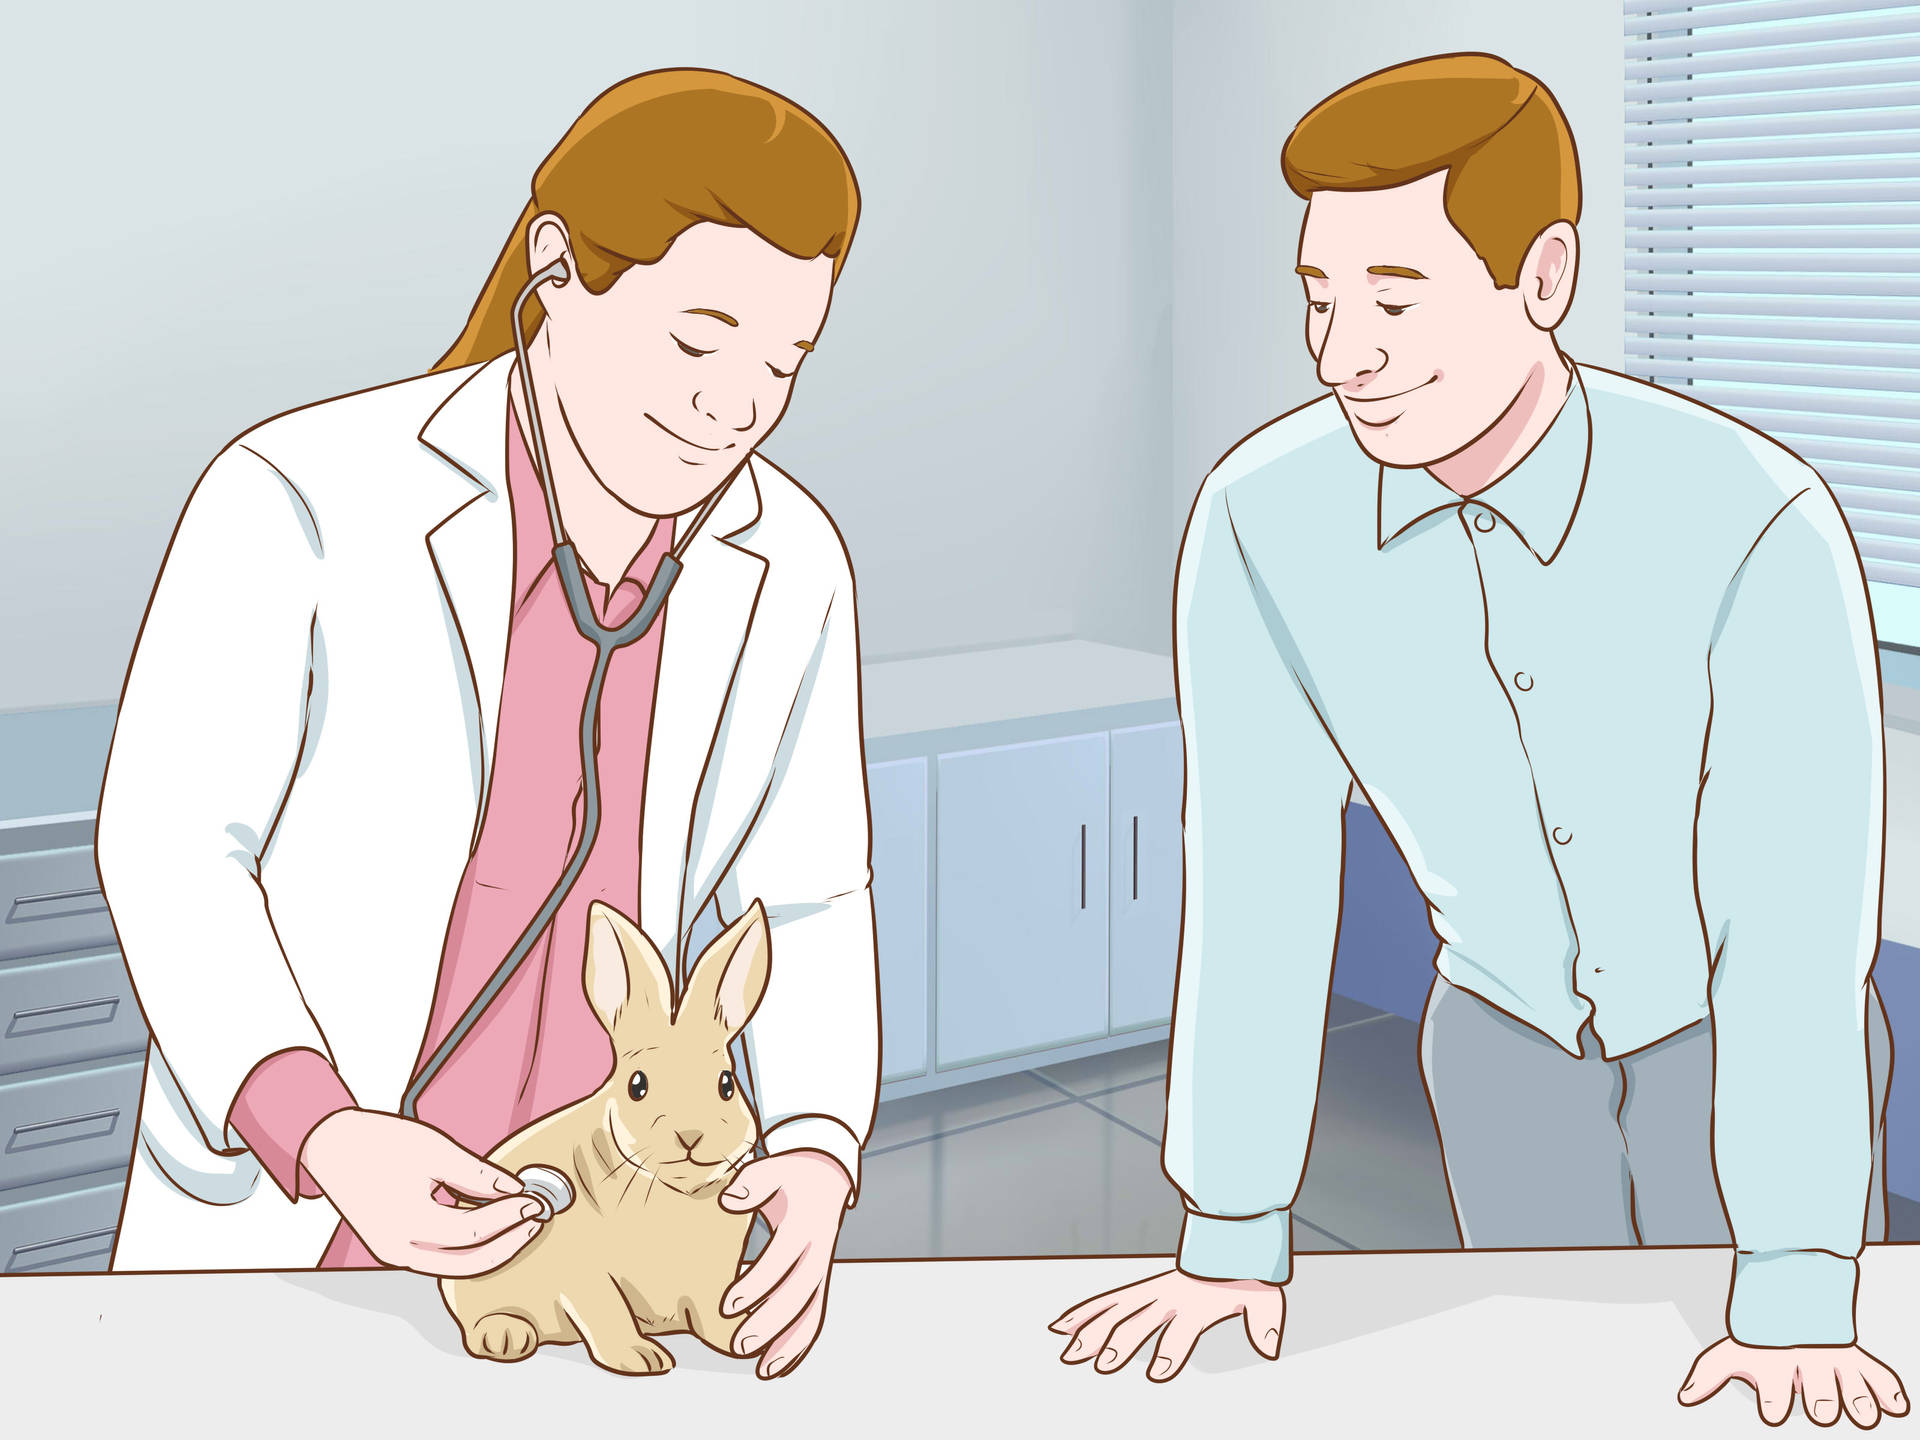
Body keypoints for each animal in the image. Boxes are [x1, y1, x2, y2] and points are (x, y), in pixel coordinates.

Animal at [441, 898, 771, 1382]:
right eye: (638, 1085)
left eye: (727, 1085)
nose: (691, 1135)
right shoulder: (586, 1275)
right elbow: (607, 1311)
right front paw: (642, 1358)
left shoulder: (711, 1278)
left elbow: (717, 1313)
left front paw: (745, 1339)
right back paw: (503, 1336)